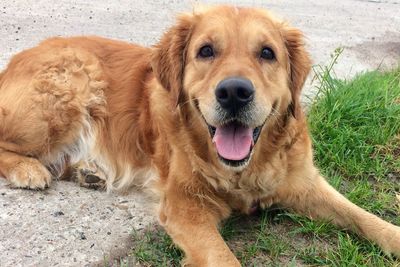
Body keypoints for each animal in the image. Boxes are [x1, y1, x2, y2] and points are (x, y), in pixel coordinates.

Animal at [0, 4, 398, 267]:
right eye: (206, 51)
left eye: (267, 53)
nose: (234, 92)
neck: (243, 172)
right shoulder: (184, 206)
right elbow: (225, 259)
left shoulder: (304, 182)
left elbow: (362, 215)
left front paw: (392, 236)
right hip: (69, 87)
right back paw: (29, 170)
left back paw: (89, 171)